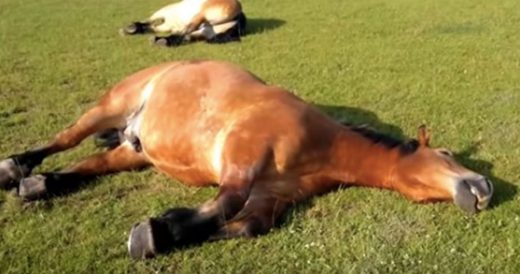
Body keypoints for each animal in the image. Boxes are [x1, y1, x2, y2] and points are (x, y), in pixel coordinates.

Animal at [0, 60, 492, 260]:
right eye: (446, 155)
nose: (485, 190)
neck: (321, 144)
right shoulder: (243, 158)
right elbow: (225, 204)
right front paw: (155, 231)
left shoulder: (272, 197)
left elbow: (246, 225)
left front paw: (164, 233)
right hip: (109, 106)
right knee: (63, 140)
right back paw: (15, 168)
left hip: (132, 154)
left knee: (84, 168)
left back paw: (39, 185)